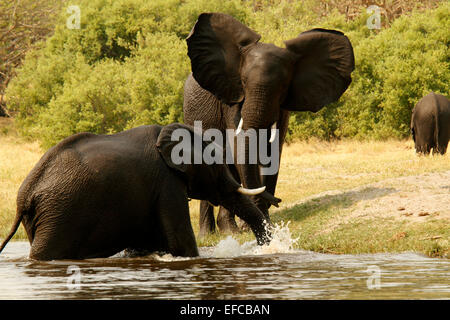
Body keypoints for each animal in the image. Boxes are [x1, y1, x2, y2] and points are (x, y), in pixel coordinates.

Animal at [183, 12, 356, 236]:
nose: (278, 200)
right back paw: (211, 234)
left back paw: (229, 230)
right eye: (243, 82)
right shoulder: (232, 98)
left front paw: (263, 223)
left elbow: (273, 151)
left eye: (283, 87)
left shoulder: (283, 107)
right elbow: (238, 147)